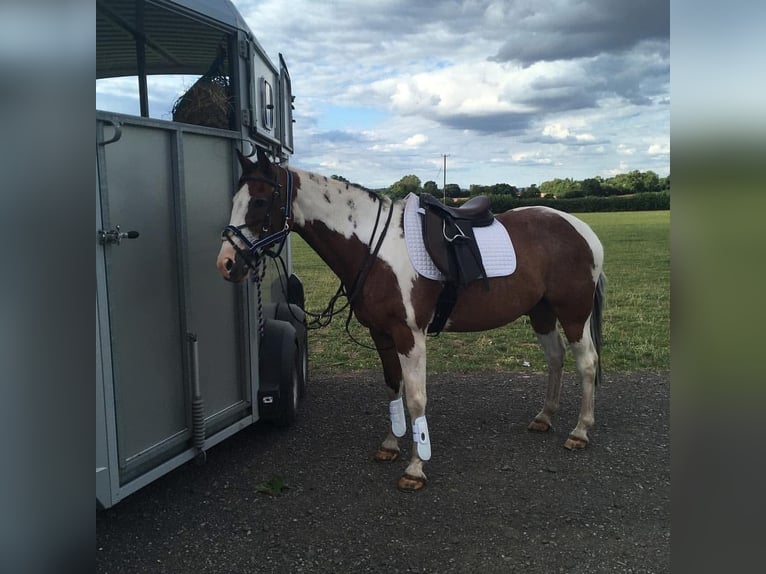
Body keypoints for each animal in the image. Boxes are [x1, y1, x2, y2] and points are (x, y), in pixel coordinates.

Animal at [216, 150, 608, 496]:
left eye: (260, 201)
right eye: (235, 199)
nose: (227, 263)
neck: (374, 247)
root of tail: (582, 229)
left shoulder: (410, 336)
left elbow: (417, 399)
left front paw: (415, 469)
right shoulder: (381, 334)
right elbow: (393, 388)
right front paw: (391, 444)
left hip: (574, 314)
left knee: (587, 363)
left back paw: (580, 431)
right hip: (541, 312)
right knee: (556, 358)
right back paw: (545, 417)